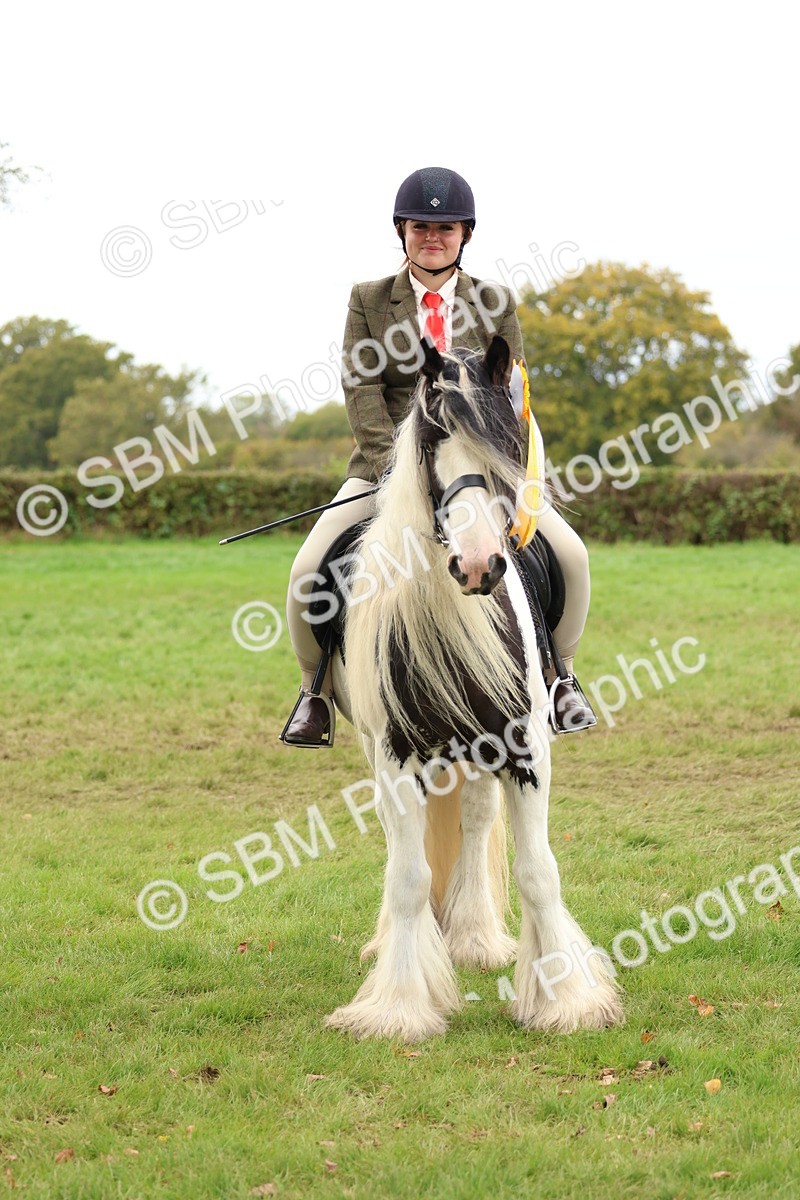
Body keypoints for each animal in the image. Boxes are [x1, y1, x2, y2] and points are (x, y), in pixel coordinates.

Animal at [325, 335, 623, 1042]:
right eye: (434, 439)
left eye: (506, 439)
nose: (480, 565)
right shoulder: (394, 754)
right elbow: (408, 876)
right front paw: (399, 1008)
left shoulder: (526, 749)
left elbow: (538, 870)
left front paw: (569, 1000)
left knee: (477, 817)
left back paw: (476, 939)